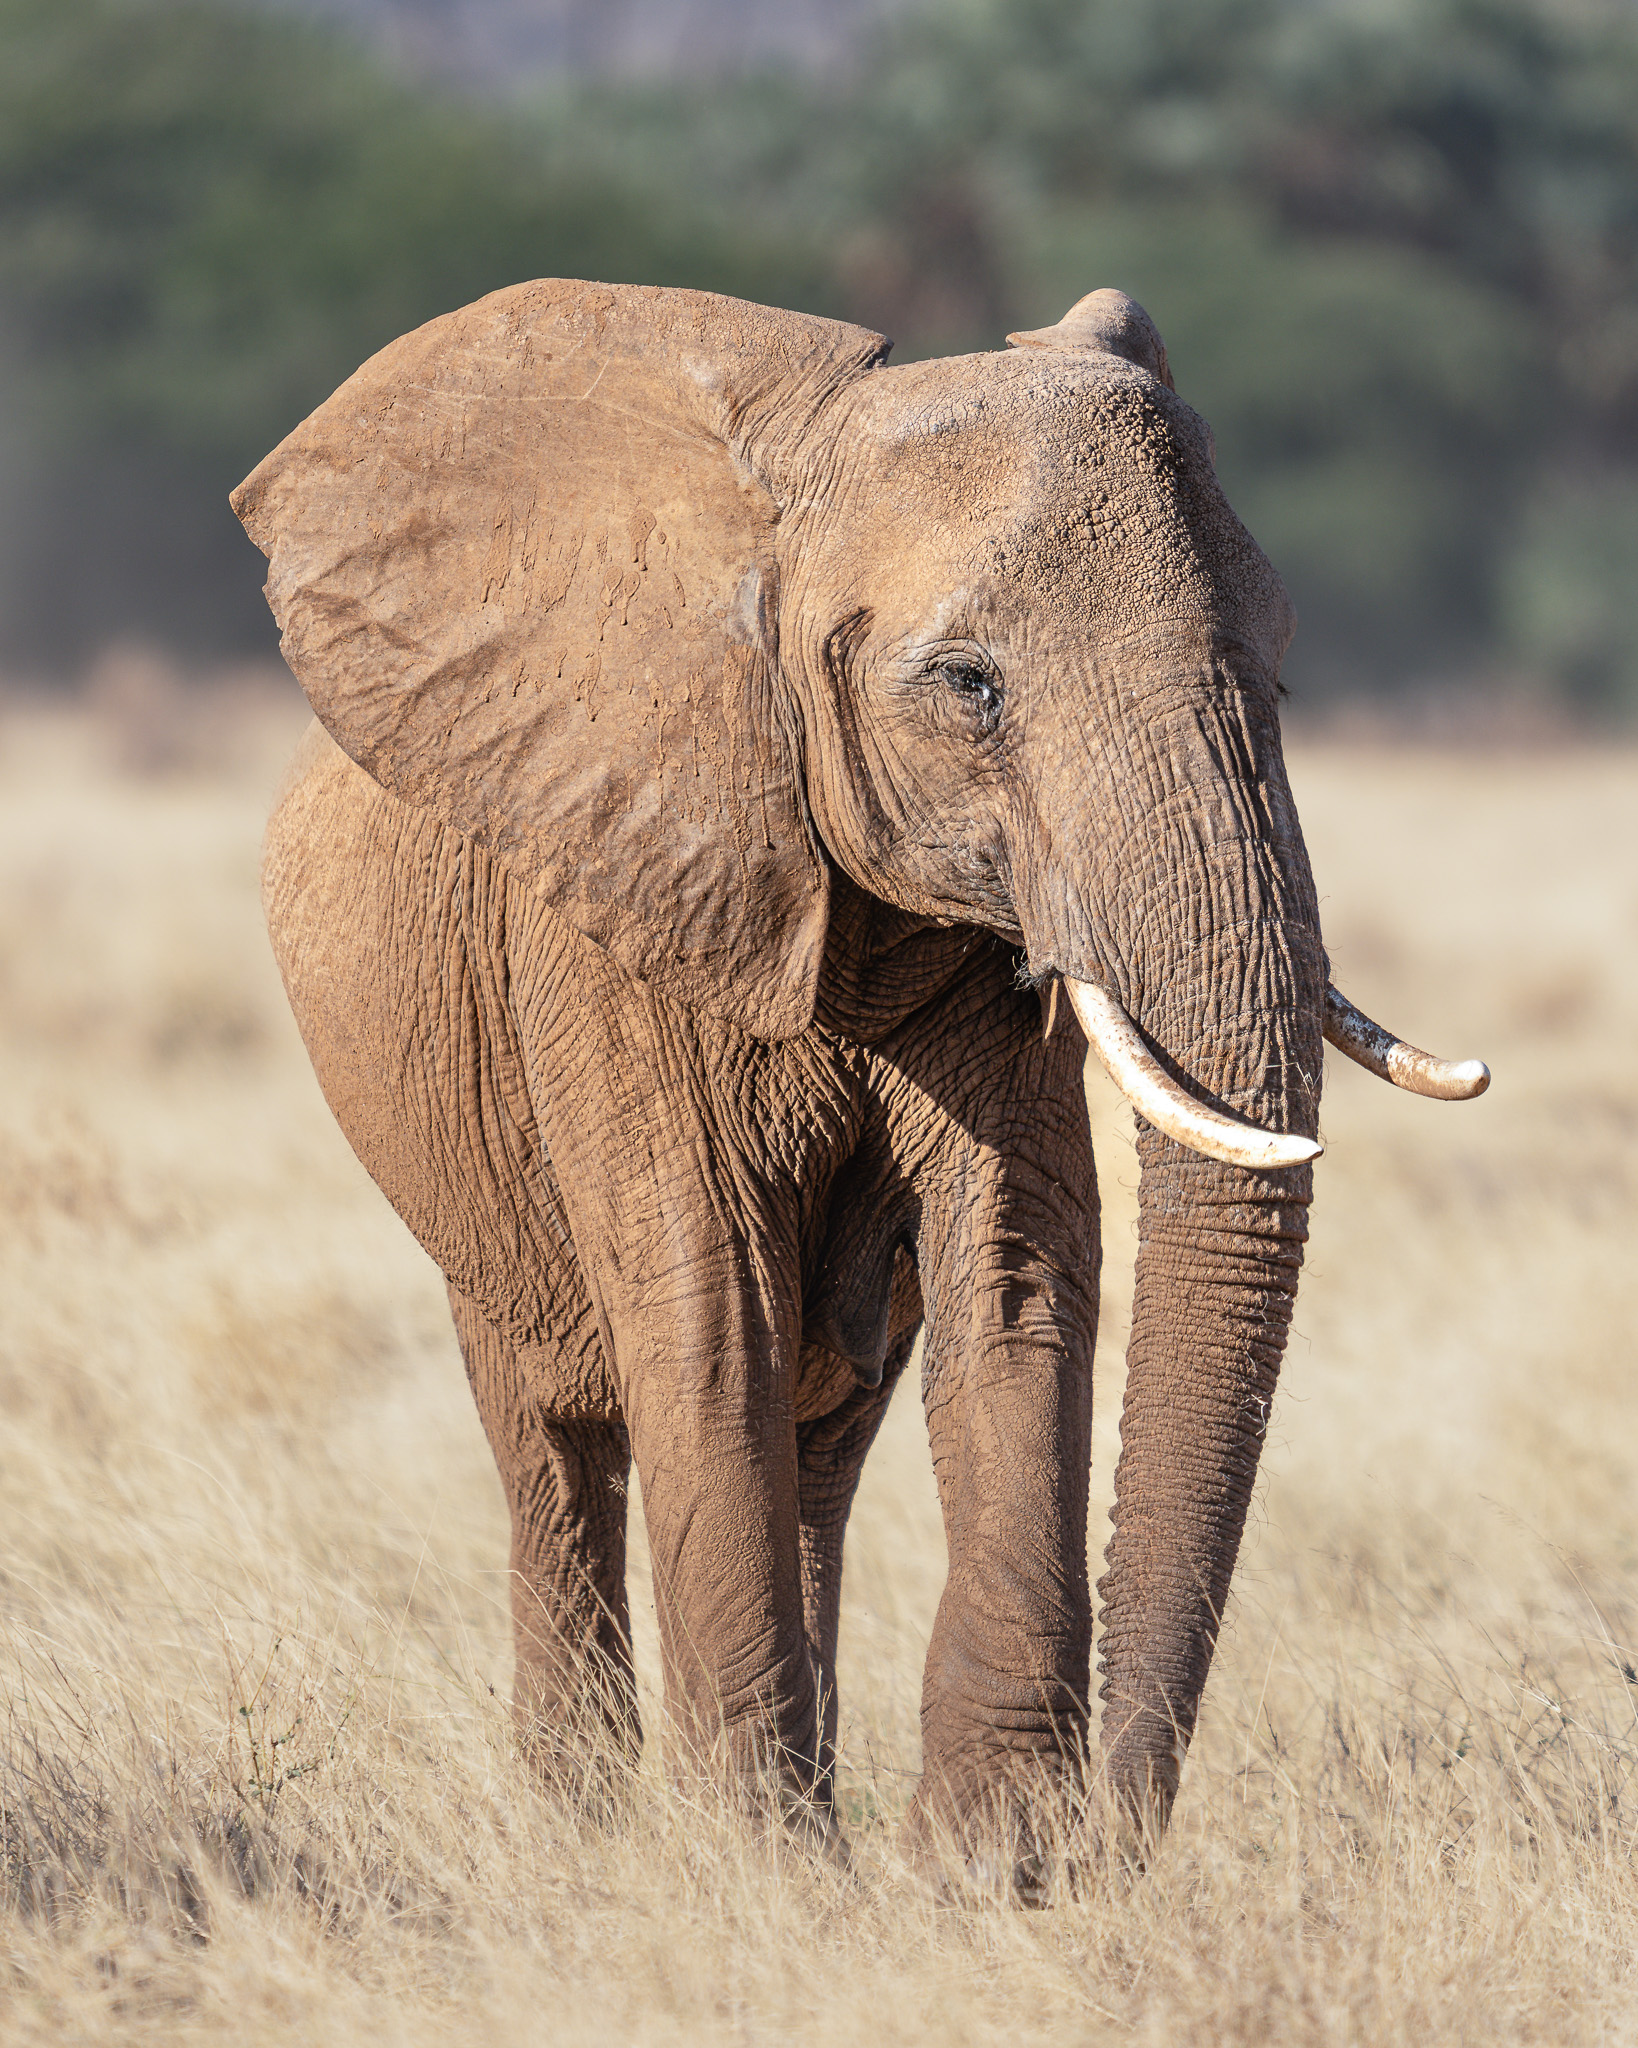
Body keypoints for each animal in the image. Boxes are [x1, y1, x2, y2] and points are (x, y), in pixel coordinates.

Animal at [233, 279, 1486, 1877]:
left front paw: (988, 1863)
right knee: (552, 1442)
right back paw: (588, 1830)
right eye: (968, 686)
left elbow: (1012, 1271)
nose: (1119, 1841)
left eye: (1278, 671)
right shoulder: (606, 898)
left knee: (818, 1453)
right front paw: (757, 1866)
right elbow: (709, 1307)